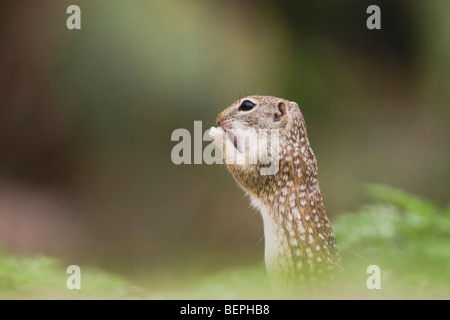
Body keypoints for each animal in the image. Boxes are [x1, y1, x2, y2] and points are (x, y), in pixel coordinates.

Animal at [210, 94, 342, 284]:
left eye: (247, 105)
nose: (218, 119)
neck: (288, 139)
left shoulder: (268, 161)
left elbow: (242, 170)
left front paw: (218, 134)